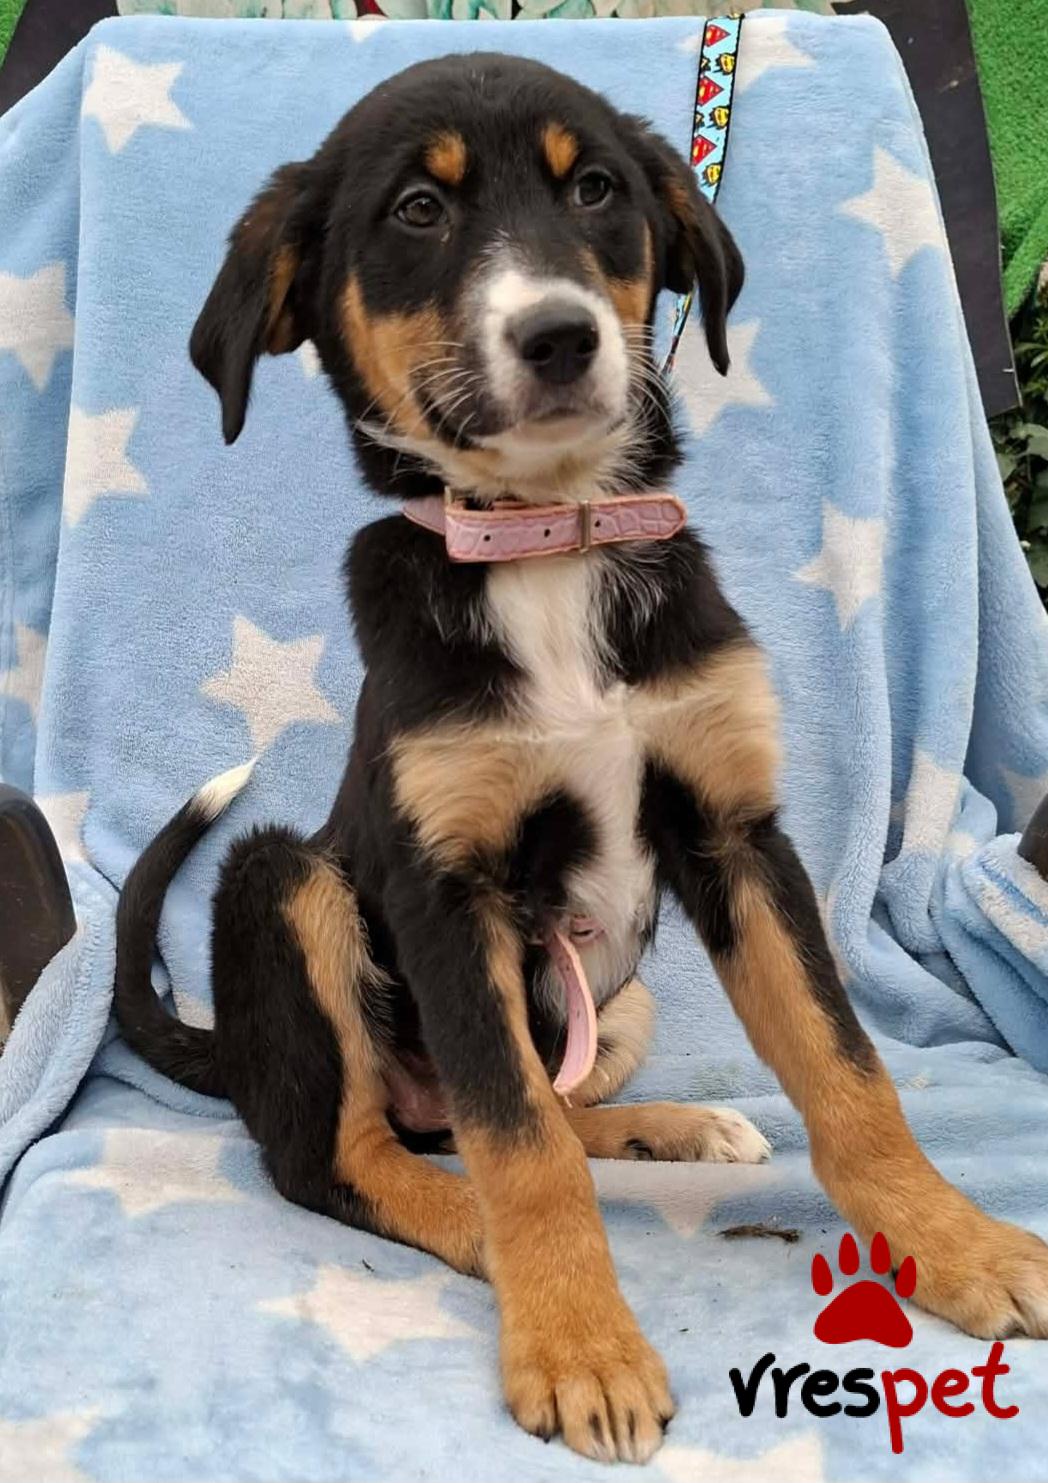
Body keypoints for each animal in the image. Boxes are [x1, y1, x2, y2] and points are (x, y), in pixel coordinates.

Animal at [115, 53, 1048, 1464]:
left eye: (596, 190)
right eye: (417, 212)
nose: (558, 336)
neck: (549, 541)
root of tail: (242, 1057)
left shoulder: (734, 833)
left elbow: (847, 1070)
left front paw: (958, 1245)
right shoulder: (448, 887)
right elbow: (516, 1147)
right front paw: (576, 1342)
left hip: (622, 996)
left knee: (531, 1108)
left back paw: (672, 1129)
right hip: (288, 881)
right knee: (350, 1154)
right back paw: (485, 1243)